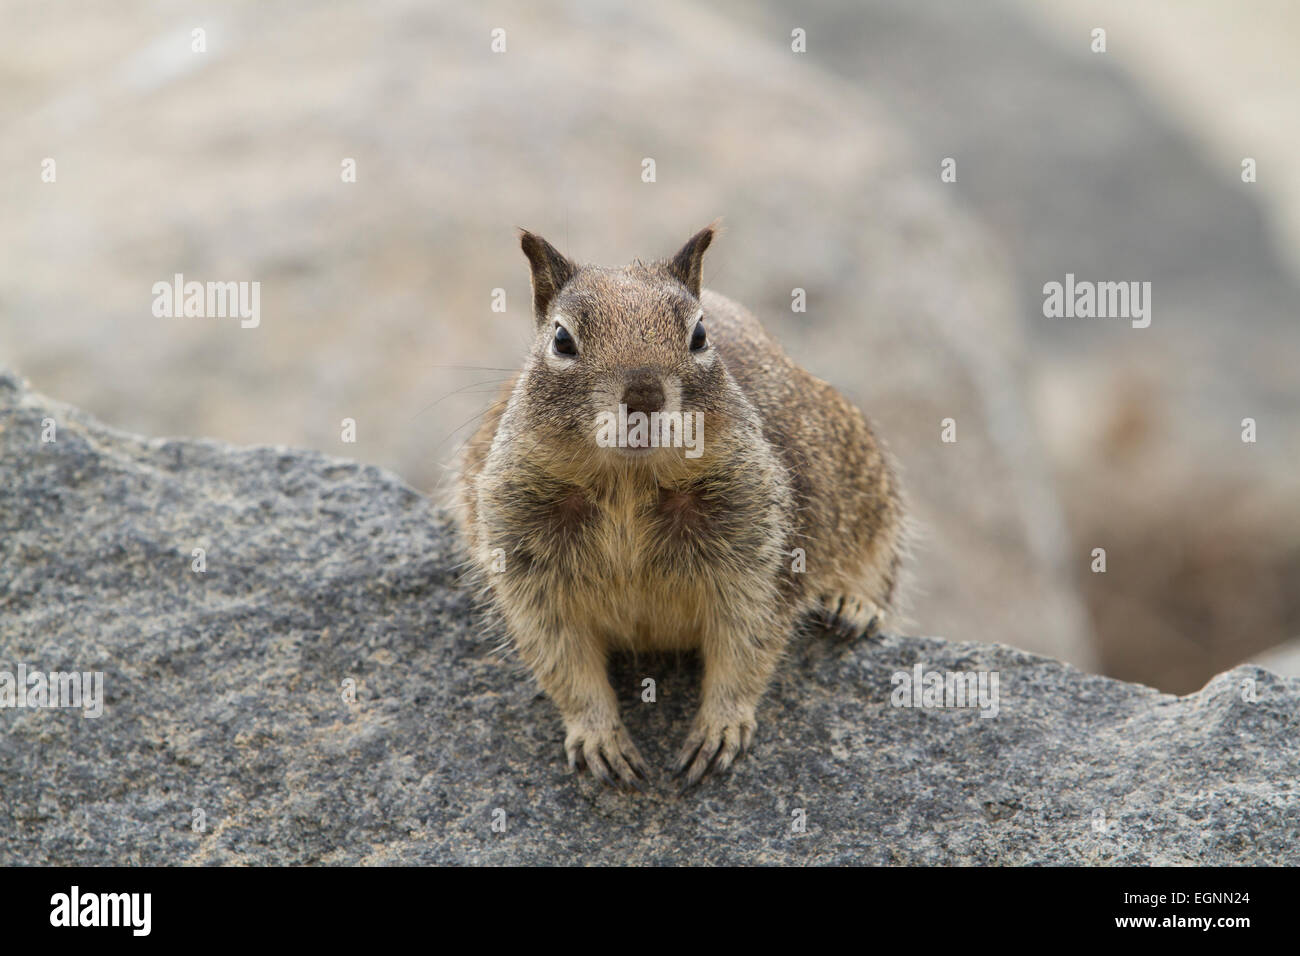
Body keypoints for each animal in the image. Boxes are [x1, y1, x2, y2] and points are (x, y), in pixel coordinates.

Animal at [457, 226, 904, 790]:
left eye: (700, 335)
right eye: (561, 340)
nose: (644, 396)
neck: (627, 484)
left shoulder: (760, 555)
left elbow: (748, 644)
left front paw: (720, 728)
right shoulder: (524, 562)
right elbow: (562, 659)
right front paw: (599, 737)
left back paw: (852, 604)